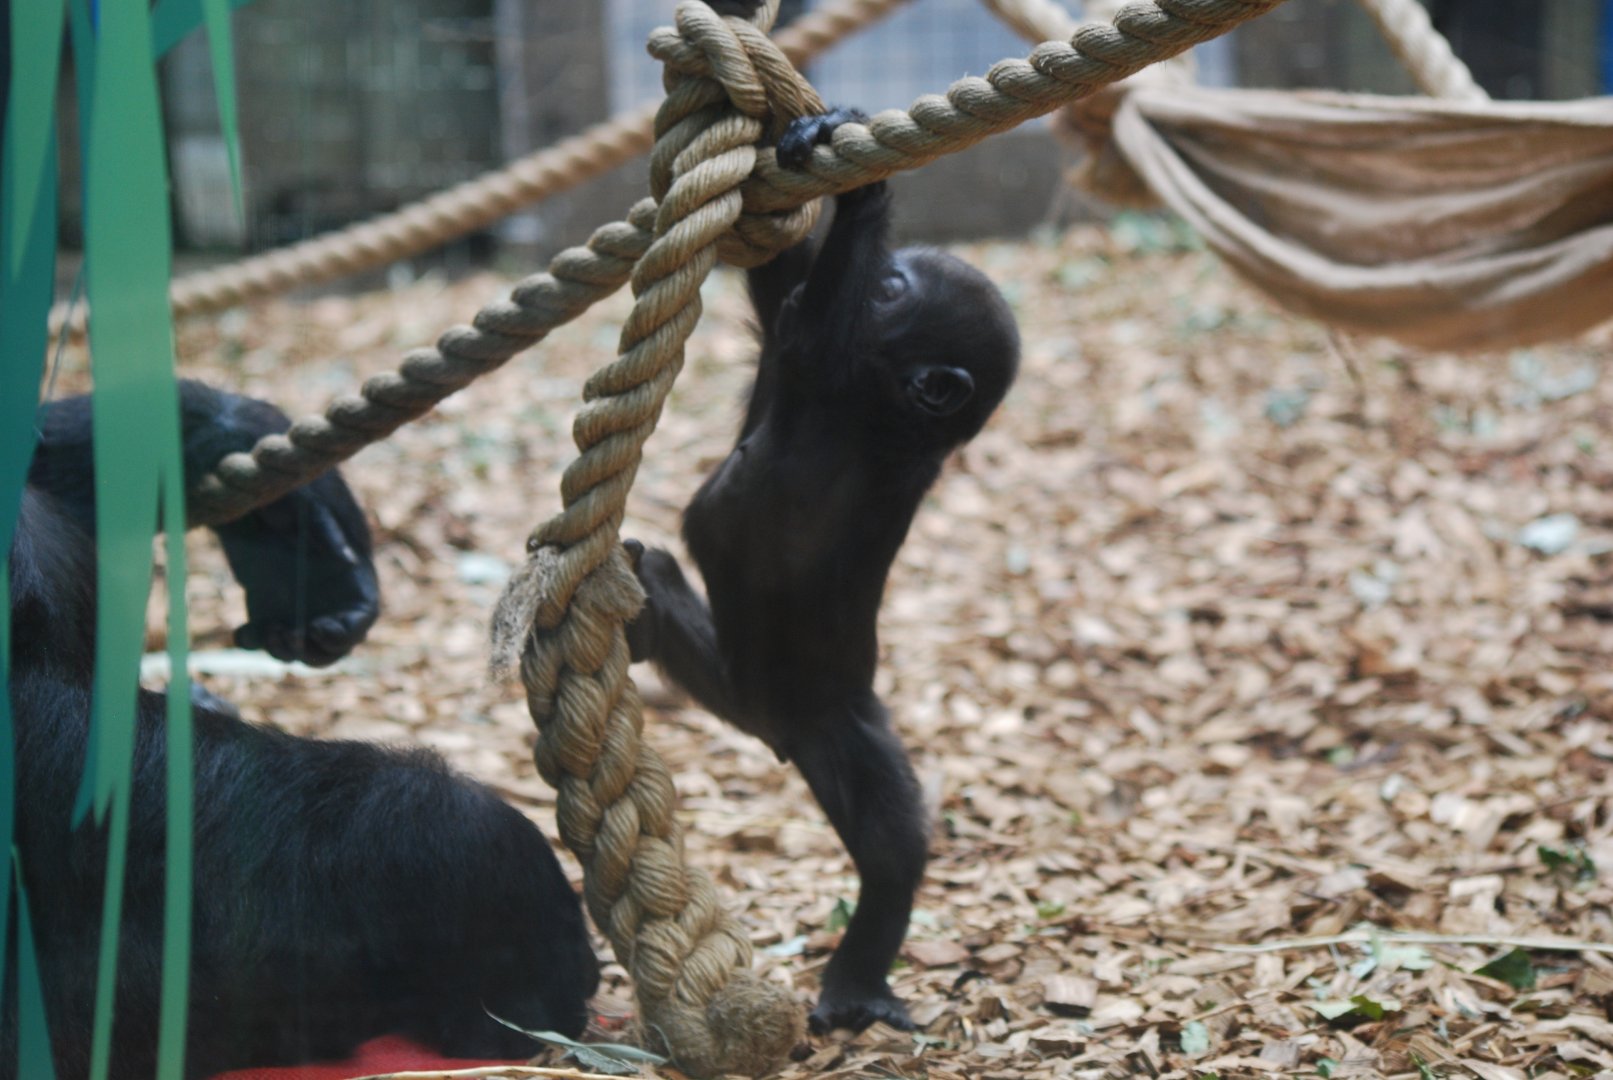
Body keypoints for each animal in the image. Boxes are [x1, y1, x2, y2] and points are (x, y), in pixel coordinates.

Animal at [623, 108, 1020, 1033]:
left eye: (892, 288)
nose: (887, 274)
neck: (891, 415)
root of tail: (777, 733)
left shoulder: (842, 378)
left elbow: (806, 320)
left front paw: (861, 196)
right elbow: (781, 299)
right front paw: (793, 141)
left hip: (842, 726)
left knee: (892, 848)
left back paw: (857, 983)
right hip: (732, 687)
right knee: (659, 578)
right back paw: (638, 614)